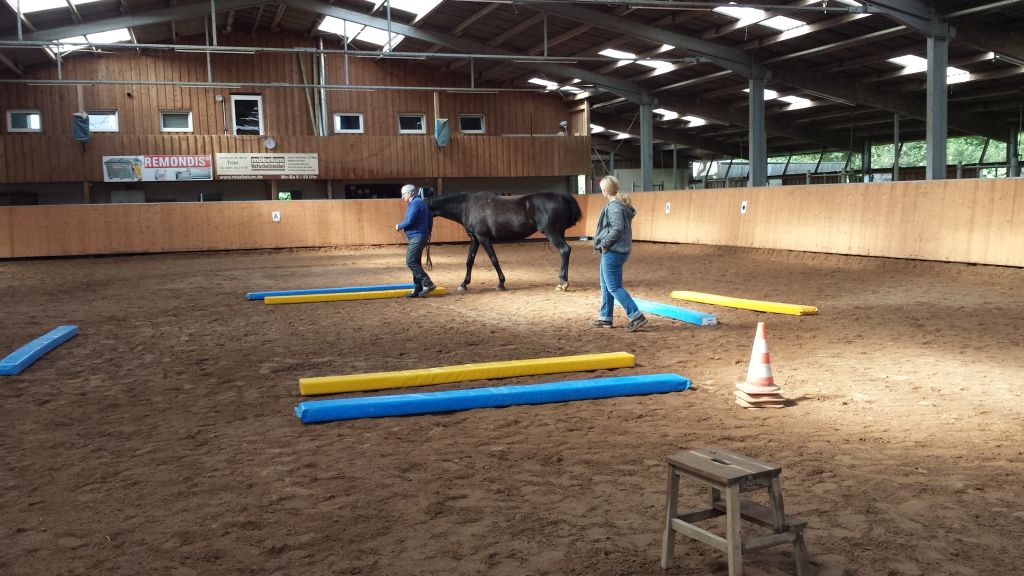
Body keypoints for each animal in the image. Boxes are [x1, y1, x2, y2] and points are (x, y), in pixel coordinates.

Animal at [426, 191, 583, 291]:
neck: (468, 206)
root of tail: (561, 196)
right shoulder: (475, 239)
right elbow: (469, 261)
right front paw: (464, 284)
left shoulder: (484, 238)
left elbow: (494, 260)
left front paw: (501, 283)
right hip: (560, 232)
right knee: (566, 252)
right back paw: (563, 281)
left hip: (552, 233)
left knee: (564, 250)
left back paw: (562, 283)